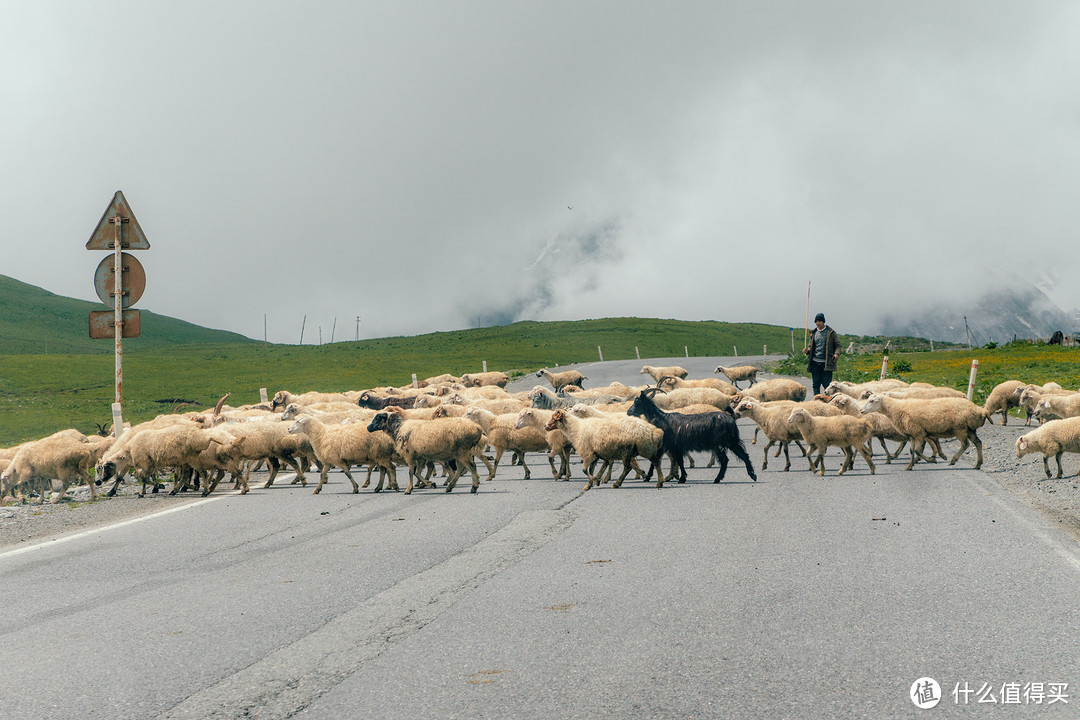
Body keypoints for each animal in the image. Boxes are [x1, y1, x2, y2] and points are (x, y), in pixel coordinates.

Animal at [626, 388, 760, 483]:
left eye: (637, 402)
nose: (628, 412)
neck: (661, 419)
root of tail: (731, 417)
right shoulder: (677, 447)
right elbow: (680, 461)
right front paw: (683, 478)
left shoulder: (667, 445)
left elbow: (656, 461)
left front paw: (648, 477)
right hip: (730, 441)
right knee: (742, 455)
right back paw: (752, 475)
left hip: (723, 442)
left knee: (727, 460)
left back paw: (718, 479)